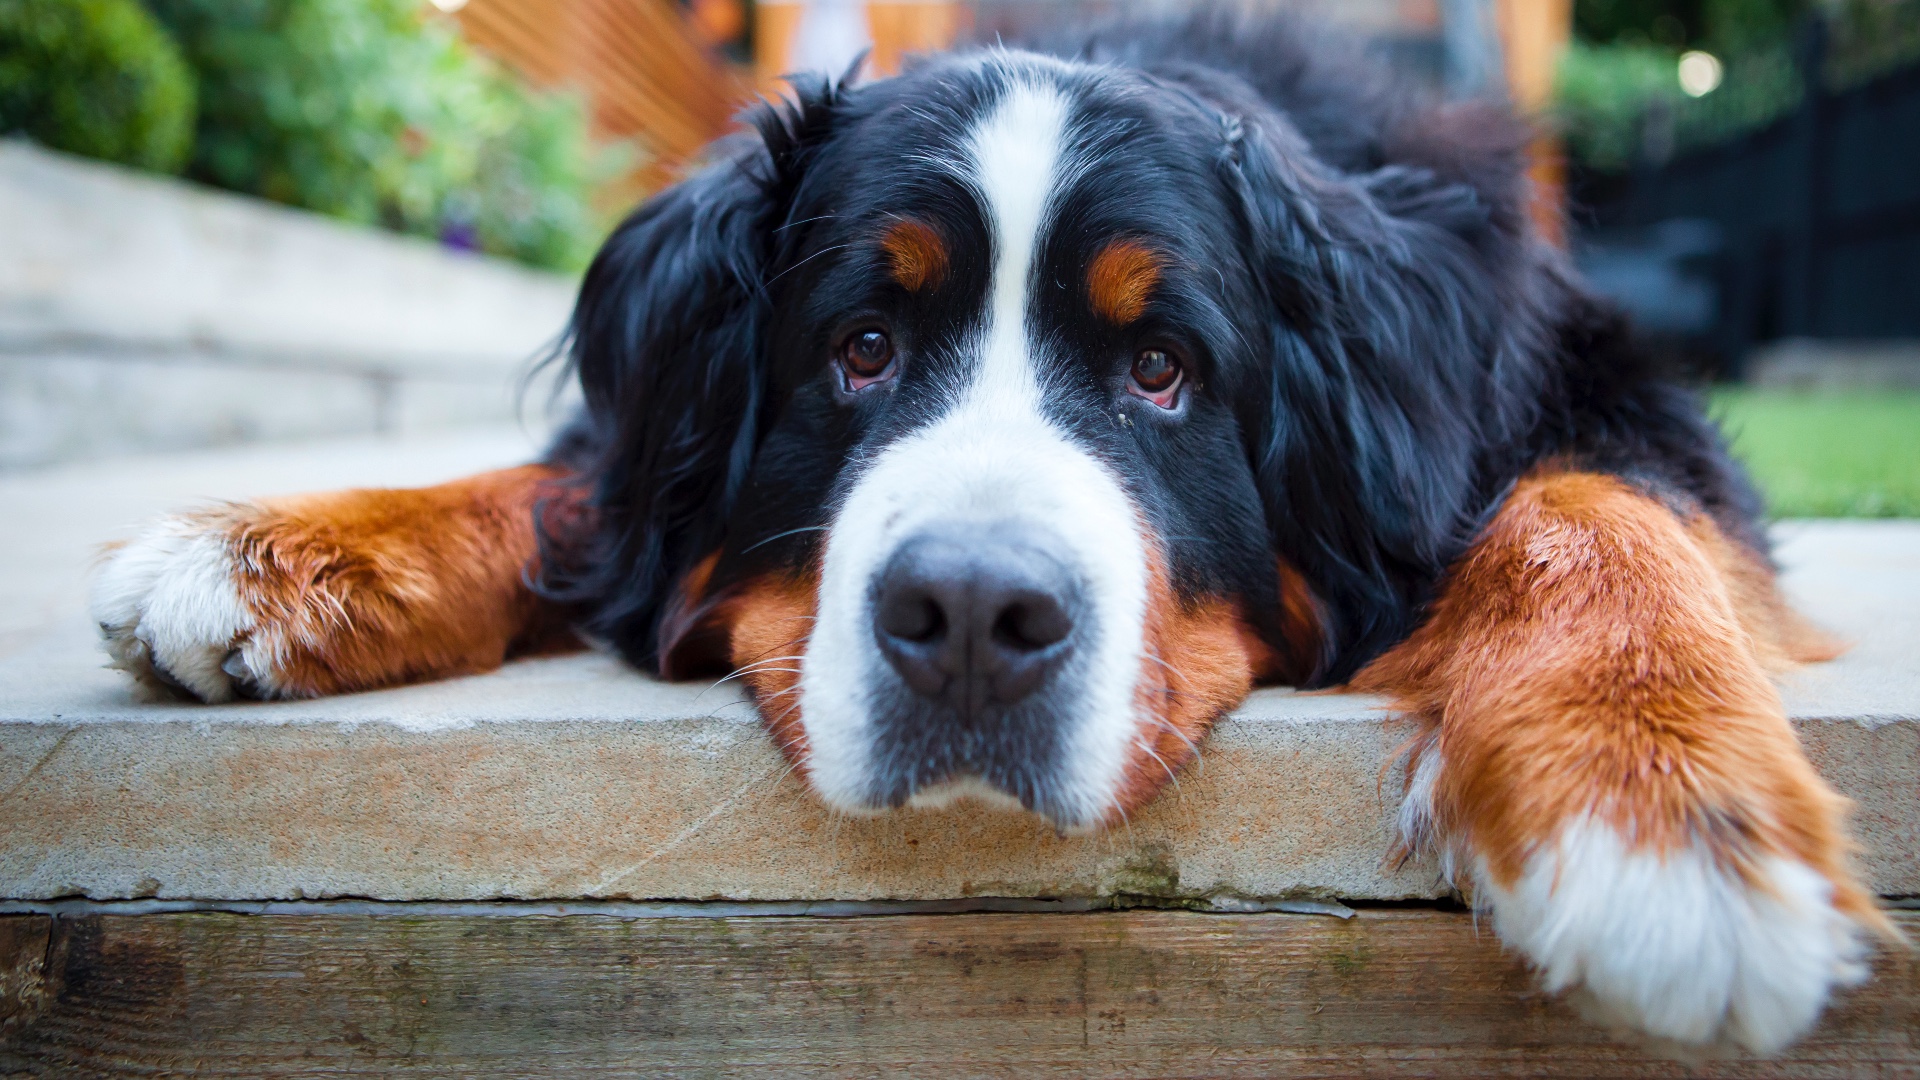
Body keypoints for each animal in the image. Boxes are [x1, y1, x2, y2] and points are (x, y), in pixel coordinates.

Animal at [90, 8, 1889, 1053]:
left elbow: (1594, 507)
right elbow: (571, 488)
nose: (968, 616)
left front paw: (1657, 813)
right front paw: (277, 553)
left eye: (1164, 372)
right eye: (861, 348)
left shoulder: (1592, 391)